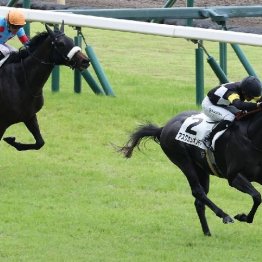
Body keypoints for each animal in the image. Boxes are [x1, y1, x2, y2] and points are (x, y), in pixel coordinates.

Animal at [0, 23, 89, 151]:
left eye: (72, 40)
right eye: (60, 44)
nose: (85, 61)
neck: (21, 80)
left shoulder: (29, 116)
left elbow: (40, 143)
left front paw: (12, 141)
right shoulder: (2, 122)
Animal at [119, 109, 262, 236]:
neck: (250, 137)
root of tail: (163, 128)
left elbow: (257, 197)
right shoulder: (234, 176)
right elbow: (257, 196)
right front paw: (243, 217)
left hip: (202, 169)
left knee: (199, 201)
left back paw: (207, 232)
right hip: (183, 161)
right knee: (197, 191)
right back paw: (224, 216)